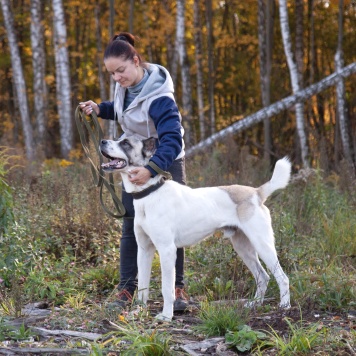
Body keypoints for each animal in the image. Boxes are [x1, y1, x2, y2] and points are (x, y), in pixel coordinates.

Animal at [100, 135, 292, 322]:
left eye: (125, 143)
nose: (102, 141)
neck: (150, 192)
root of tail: (256, 192)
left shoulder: (166, 250)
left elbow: (167, 288)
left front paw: (166, 315)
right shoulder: (144, 250)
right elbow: (142, 287)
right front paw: (139, 311)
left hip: (262, 245)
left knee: (282, 278)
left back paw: (284, 307)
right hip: (243, 248)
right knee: (263, 276)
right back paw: (255, 304)